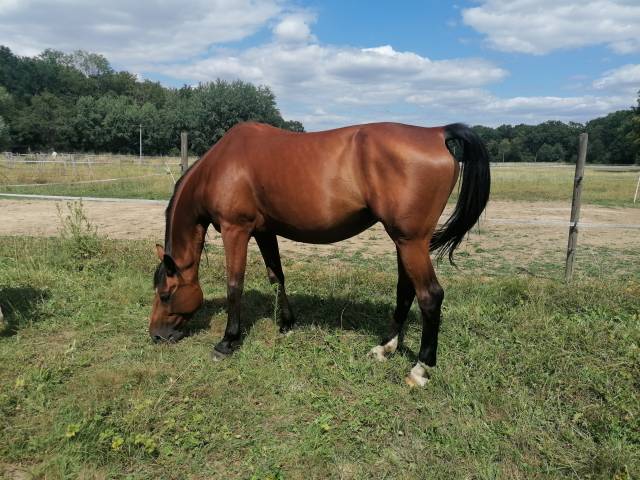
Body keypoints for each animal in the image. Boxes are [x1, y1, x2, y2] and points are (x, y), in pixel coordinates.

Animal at [150, 121, 490, 387]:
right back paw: (385, 348)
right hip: (404, 243)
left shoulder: (237, 230)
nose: (155, 335)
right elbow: (276, 276)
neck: (221, 165)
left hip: (411, 242)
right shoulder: (264, 231)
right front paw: (287, 324)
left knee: (430, 296)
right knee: (406, 291)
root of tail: (436, 133)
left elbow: (235, 284)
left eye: (166, 295)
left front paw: (227, 341)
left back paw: (420, 368)